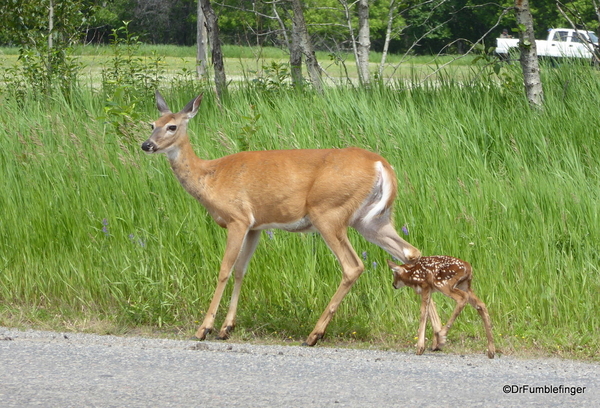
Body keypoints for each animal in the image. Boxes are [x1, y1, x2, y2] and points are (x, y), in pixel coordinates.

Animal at [141, 91, 422, 346]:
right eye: (152, 124)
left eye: (172, 126)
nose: (146, 145)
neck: (209, 176)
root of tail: (381, 164)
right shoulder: (255, 226)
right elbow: (241, 270)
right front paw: (226, 328)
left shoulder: (237, 218)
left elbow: (224, 269)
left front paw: (205, 328)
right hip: (372, 219)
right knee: (410, 252)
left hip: (329, 212)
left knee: (353, 266)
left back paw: (314, 334)